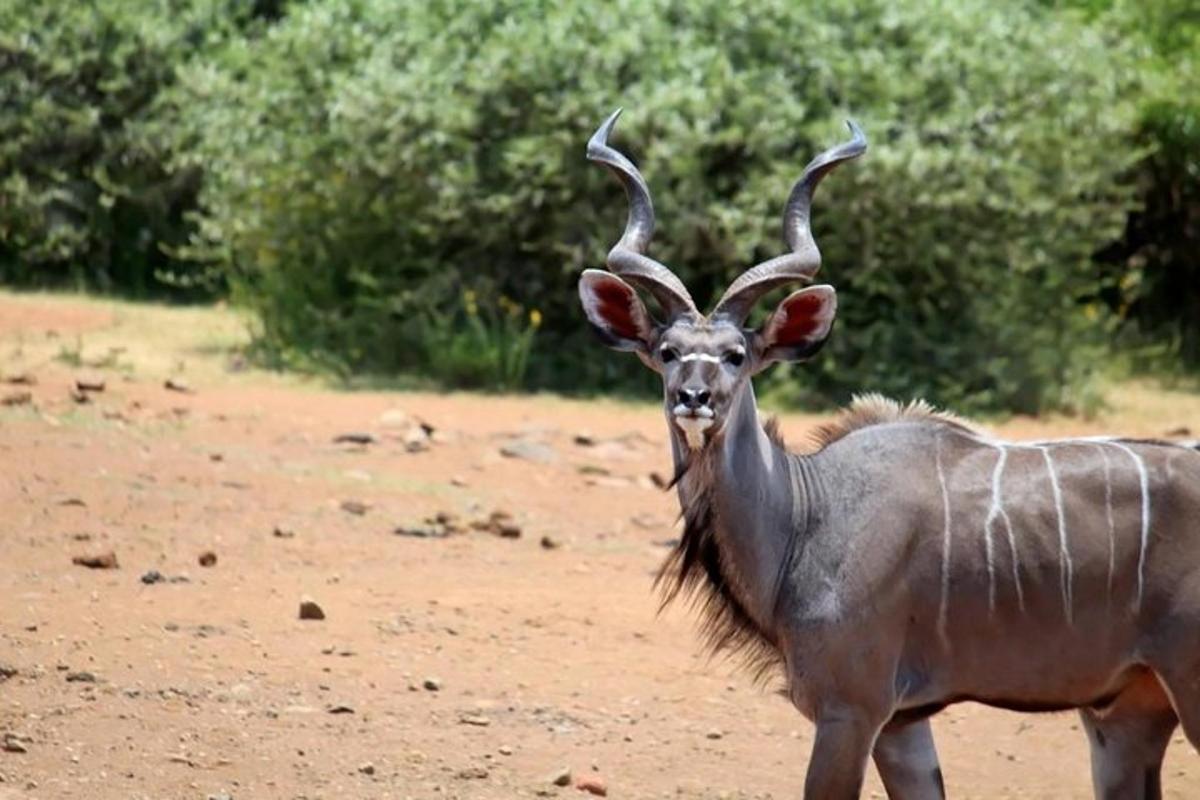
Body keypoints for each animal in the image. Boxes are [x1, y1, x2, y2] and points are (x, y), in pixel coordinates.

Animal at [576, 110, 1195, 800]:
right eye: (667, 352)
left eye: (737, 355)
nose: (694, 398)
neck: (808, 516)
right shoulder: (903, 723)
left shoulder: (852, 708)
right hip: (1126, 712)